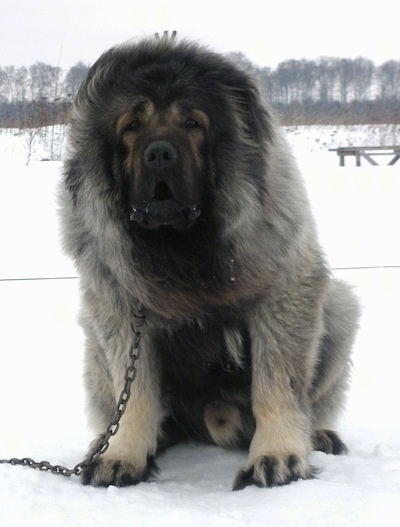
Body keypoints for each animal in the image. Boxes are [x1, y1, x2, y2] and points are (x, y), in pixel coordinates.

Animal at [58, 34, 360, 490]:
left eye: (192, 124)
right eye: (132, 127)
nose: (159, 154)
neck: (182, 247)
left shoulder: (285, 290)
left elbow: (277, 382)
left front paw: (278, 454)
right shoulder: (120, 308)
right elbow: (136, 393)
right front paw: (122, 453)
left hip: (339, 308)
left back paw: (318, 434)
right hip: (93, 337)